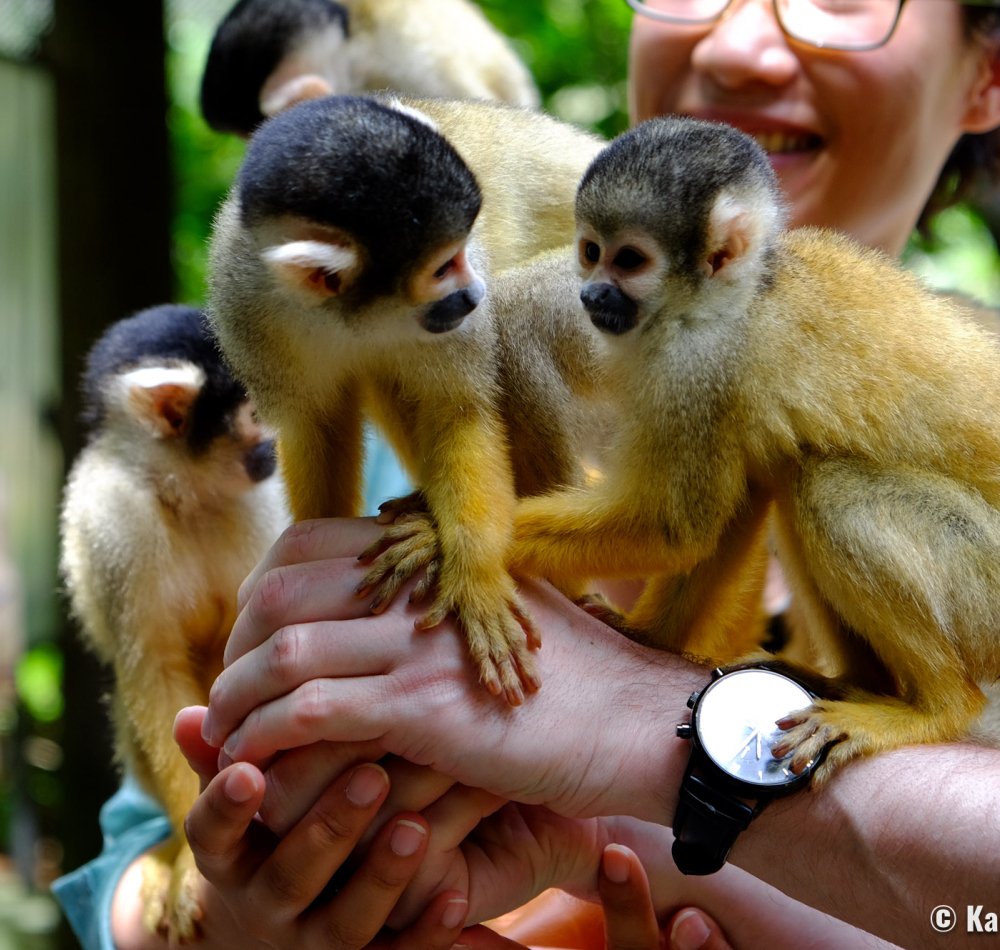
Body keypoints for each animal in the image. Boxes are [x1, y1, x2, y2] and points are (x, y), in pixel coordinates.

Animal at [59, 304, 289, 940]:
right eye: (256, 409)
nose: (281, 440)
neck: (185, 491)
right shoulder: (117, 522)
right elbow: (152, 672)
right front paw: (190, 855)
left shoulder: (259, 509)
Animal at [206, 93, 606, 704]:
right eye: (442, 267)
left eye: (463, 252)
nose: (472, 293)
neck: (350, 314)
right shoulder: (245, 304)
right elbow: (316, 425)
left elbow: (459, 409)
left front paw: (474, 578)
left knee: (513, 319)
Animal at [508, 115, 1000, 783]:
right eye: (590, 251)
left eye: (628, 260)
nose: (590, 295)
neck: (733, 297)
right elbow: (733, 507)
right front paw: (647, 640)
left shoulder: (699, 366)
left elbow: (675, 528)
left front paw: (452, 537)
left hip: (986, 581)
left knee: (830, 488)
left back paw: (937, 708)